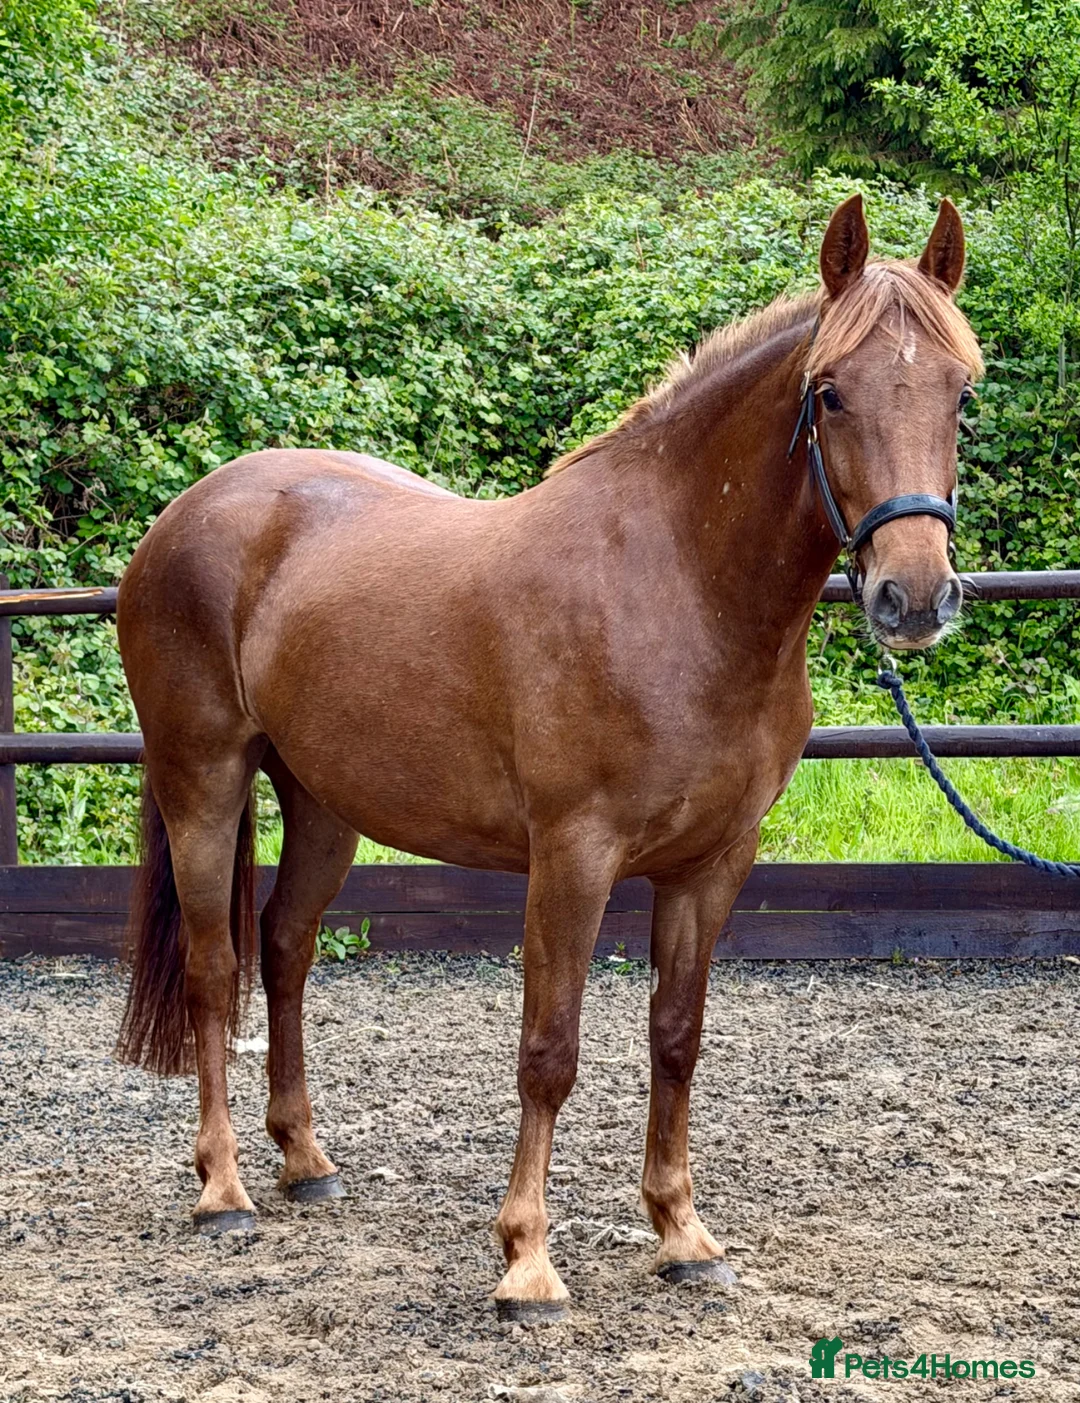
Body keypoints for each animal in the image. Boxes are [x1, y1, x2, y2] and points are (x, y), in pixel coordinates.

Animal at [115, 194, 983, 1320]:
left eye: (961, 394)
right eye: (829, 392)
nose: (913, 598)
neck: (677, 587)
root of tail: (191, 512)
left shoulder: (713, 863)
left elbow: (676, 1036)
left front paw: (682, 1232)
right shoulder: (573, 854)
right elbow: (550, 1049)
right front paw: (527, 1257)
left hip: (322, 801)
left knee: (285, 946)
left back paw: (304, 1160)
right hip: (206, 780)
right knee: (216, 968)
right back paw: (222, 1188)